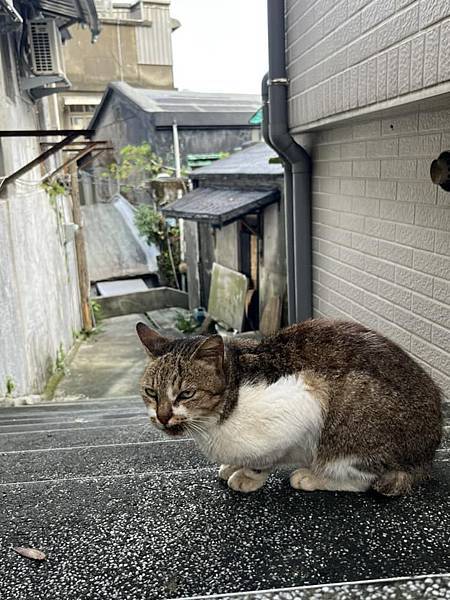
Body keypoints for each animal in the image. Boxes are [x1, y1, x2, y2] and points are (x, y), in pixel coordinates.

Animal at [134, 318, 442, 496]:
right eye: (151, 392)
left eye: (186, 394)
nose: (162, 416)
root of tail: (427, 454)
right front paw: (233, 465)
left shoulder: (303, 399)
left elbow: (264, 459)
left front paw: (247, 476)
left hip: (352, 416)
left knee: (365, 478)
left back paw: (312, 477)